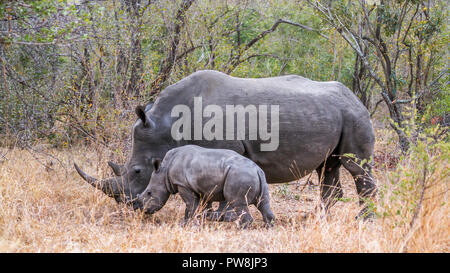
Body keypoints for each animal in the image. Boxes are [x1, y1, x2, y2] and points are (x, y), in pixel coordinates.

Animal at [136, 144, 274, 227]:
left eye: (149, 193)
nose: (144, 210)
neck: (164, 171)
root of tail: (257, 170)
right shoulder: (202, 189)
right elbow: (203, 205)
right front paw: (204, 219)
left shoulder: (183, 184)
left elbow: (190, 205)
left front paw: (185, 224)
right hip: (255, 176)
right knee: (263, 202)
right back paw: (268, 227)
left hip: (240, 175)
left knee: (238, 203)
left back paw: (240, 229)